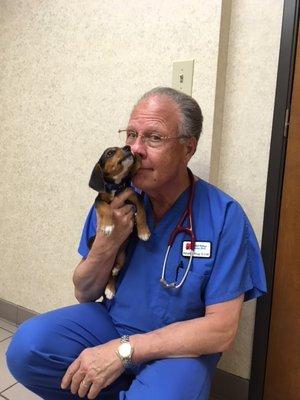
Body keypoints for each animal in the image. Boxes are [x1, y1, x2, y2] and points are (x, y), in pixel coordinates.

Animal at [88, 145, 150, 298]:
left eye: (122, 147)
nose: (128, 147)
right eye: (110, 153)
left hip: (123, 255)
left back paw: (111, 284)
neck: (116, 187)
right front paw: (108, 225)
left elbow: (141, 212)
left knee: (115, 271)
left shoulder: (134, 196)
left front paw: (144, 232)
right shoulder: (99, 201)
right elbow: (106, 208)